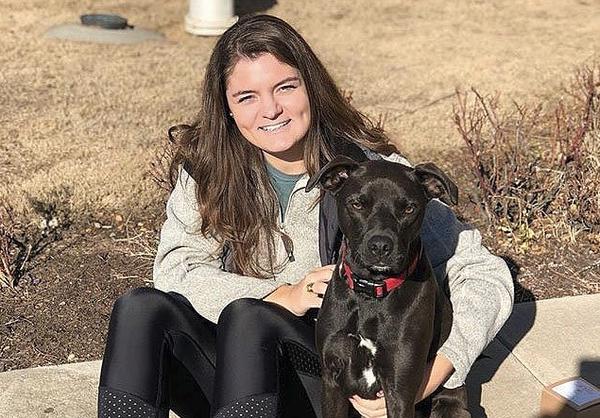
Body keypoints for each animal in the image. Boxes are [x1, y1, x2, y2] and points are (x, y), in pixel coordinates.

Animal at [306, 156, 470, 418]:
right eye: (357, 204)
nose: (381, 246)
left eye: (409, 208)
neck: (370, 294)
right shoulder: (332, 378)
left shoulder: (399, 389)